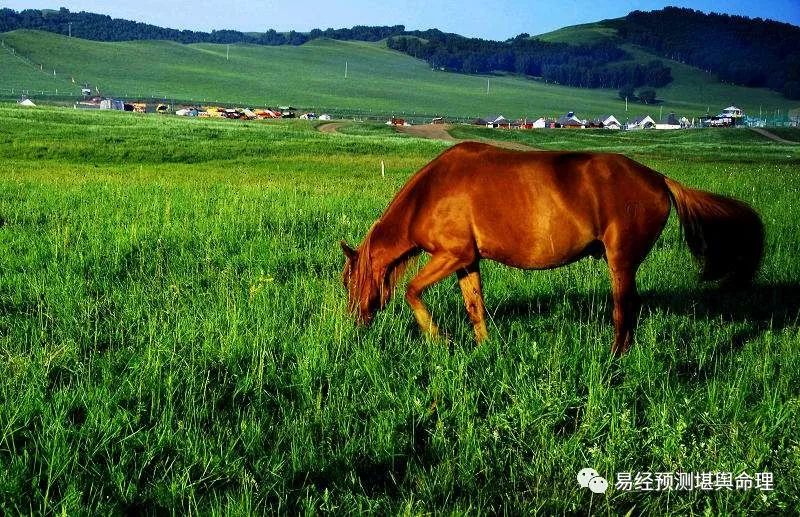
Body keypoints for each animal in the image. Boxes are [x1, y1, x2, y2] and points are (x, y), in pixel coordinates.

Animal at [338, 142, 764, 354]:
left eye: (347, 282)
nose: (354, 324)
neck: (430, 193)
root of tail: (659, 178)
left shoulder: (451, 255)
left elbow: (412, 292)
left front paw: (439, 339)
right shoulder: (467, 260)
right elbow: (475, 306)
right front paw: (483, 350)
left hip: (620, 261)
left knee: (624, 310)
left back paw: (614, 360)